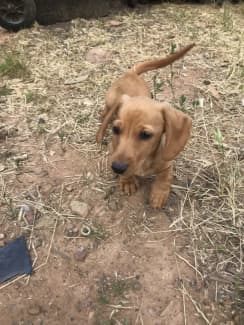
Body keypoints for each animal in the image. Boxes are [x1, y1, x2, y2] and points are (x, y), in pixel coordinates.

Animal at [96, 43, 194, 208]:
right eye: (116, 129)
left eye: (146, 134)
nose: (117, 168)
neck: (144, 161)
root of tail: (131, 73)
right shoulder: (113, 151)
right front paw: (127, 181)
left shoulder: (168, 164)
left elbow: (165, 178)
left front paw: (159, 193)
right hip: (110, 101)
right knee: (106, 112)